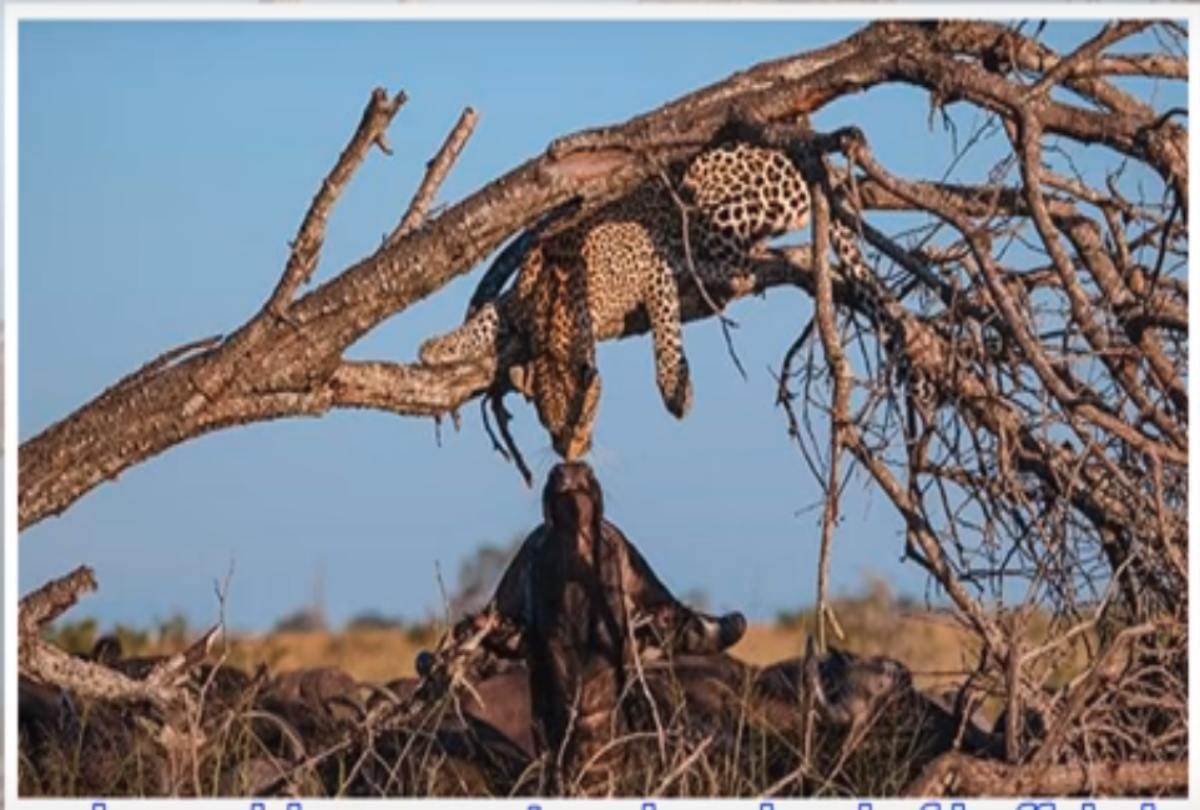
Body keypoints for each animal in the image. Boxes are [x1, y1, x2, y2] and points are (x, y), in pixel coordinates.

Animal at [418, 141, 873, 460]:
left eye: (580, 422)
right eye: (549, 428)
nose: (570, 455)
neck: (555, 305)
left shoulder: (649, 264)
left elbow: (664, 326)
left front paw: (675, 390)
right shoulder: (514, 302)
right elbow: (485, 317)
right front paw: (438, 347)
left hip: (709, 202)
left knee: (741, 259)